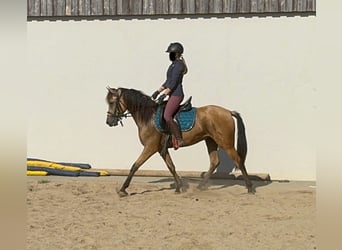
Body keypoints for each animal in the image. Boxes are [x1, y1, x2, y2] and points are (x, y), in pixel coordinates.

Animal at [106, 87, 254, 196]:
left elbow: (135, 165)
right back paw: (200, 186)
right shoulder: (160, 149)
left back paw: (250, 188)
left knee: (238, 160)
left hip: (225, 143)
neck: (148, 117)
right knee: (214, 161)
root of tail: (228, 112)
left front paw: (123, 189)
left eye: (112, 102)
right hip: (210, 140)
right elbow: (171, 166)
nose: (109, 122)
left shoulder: (150, 147)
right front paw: (179, 187)